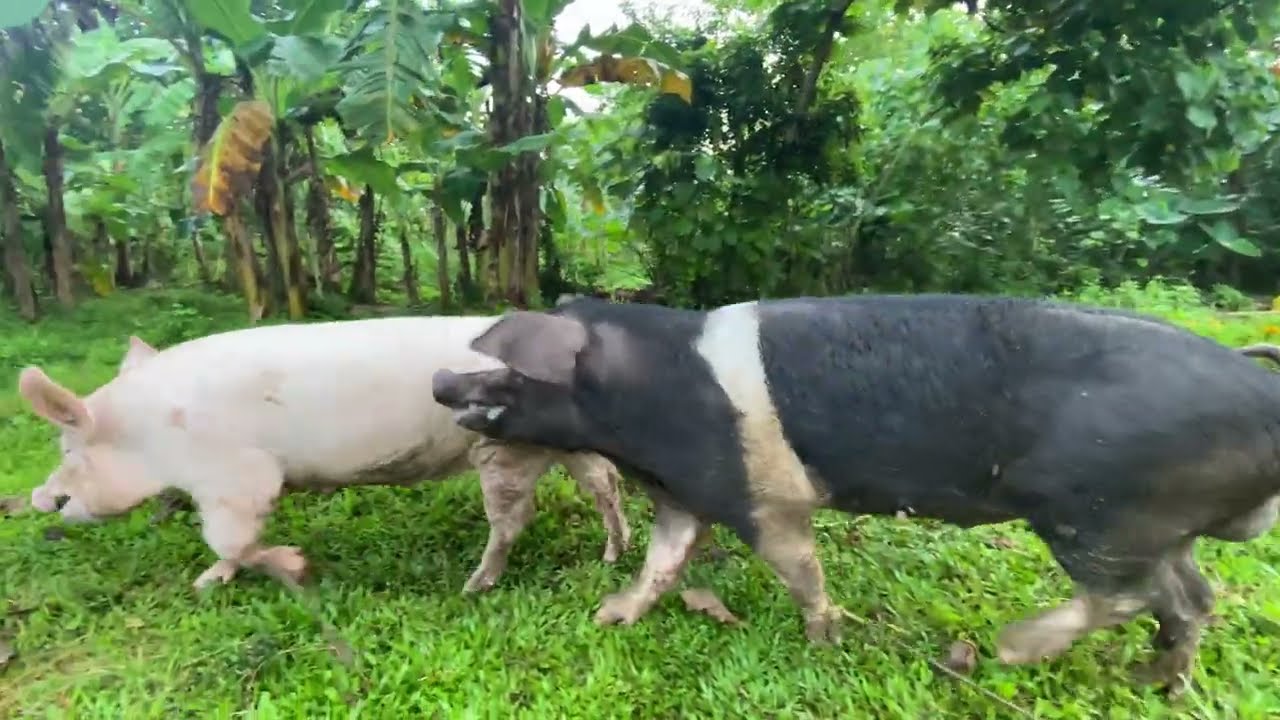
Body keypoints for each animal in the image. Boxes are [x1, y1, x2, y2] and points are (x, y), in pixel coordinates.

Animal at [17, 316, 631, 592]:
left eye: (68, 448)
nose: (37, 498)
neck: (153, 435)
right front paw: (216, 577)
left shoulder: (238, 477)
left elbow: (230, 538)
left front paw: (249, 574)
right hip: (558, 441)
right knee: (603, 481)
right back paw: (611, 556)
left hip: (504, 446)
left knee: (513, 518)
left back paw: (473, 585)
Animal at [432, 293, 1280, 694]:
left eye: (508, 369)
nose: (441, 379)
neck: (644, 404)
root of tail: (1261, 390)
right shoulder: (687, 492)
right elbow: (663, 562)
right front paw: (610, 616)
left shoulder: (766, 498)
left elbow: (800, 570)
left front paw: (823, 639)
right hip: (1159, 525)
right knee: (1191, 600)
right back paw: (1159, 682)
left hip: (1094, 513)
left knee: (1123, 595)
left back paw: (1012, 648)